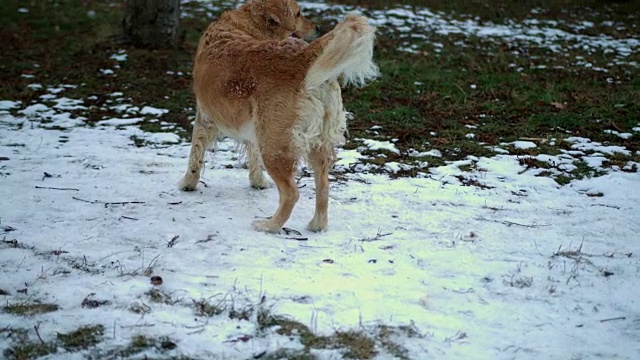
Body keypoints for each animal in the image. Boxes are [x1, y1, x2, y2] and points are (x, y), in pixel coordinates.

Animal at [180, 0, 378, 232]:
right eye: (299, 13)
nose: (319, 27)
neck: (246, 25)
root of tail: (303, 56)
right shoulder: (252, 128)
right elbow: (252, 156)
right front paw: (258, 182)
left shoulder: (204, 117)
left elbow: (195, 154)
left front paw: (187, 184)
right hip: (315, 142)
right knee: (323, 186)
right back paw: (317, 225)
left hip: (274, 145)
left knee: (291, 193)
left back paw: (269, 225)